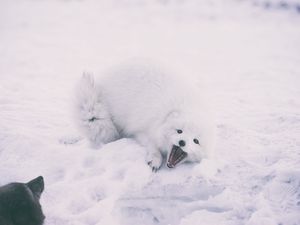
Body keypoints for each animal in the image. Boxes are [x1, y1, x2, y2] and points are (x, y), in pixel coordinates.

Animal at [76, 61, 214, 171]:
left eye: (196, 141)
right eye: (179, 131)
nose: (182, 142)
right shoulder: (143, 130)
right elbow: (152, 145)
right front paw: (155, 159)